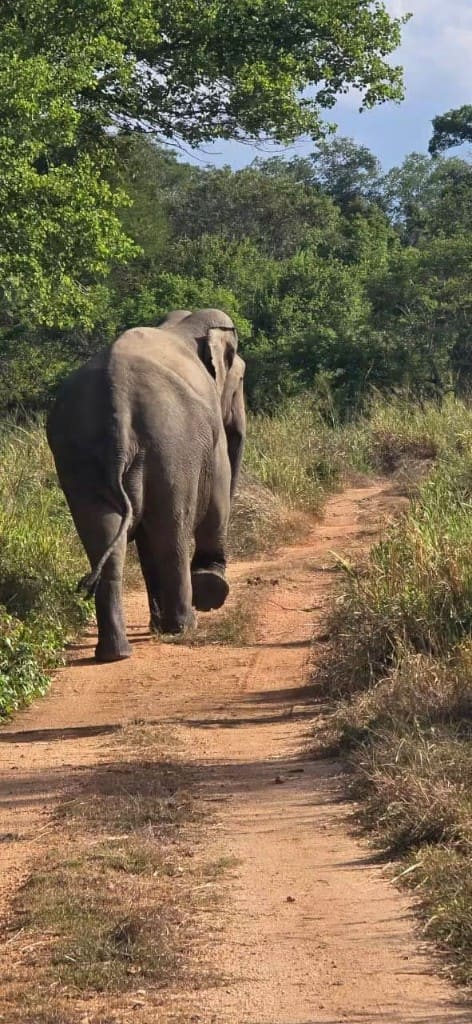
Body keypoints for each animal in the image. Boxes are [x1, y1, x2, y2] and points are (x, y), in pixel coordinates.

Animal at [46, 308, 246, 663]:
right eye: (240, 381)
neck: (183, 325)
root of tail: (118, 406)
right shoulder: (209, 437)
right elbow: (218, 491)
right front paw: (211, 585)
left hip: (79, 456)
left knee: (104, 537)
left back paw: (117, 652)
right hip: (171, 446)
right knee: (171, 532)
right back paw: (183, 626)